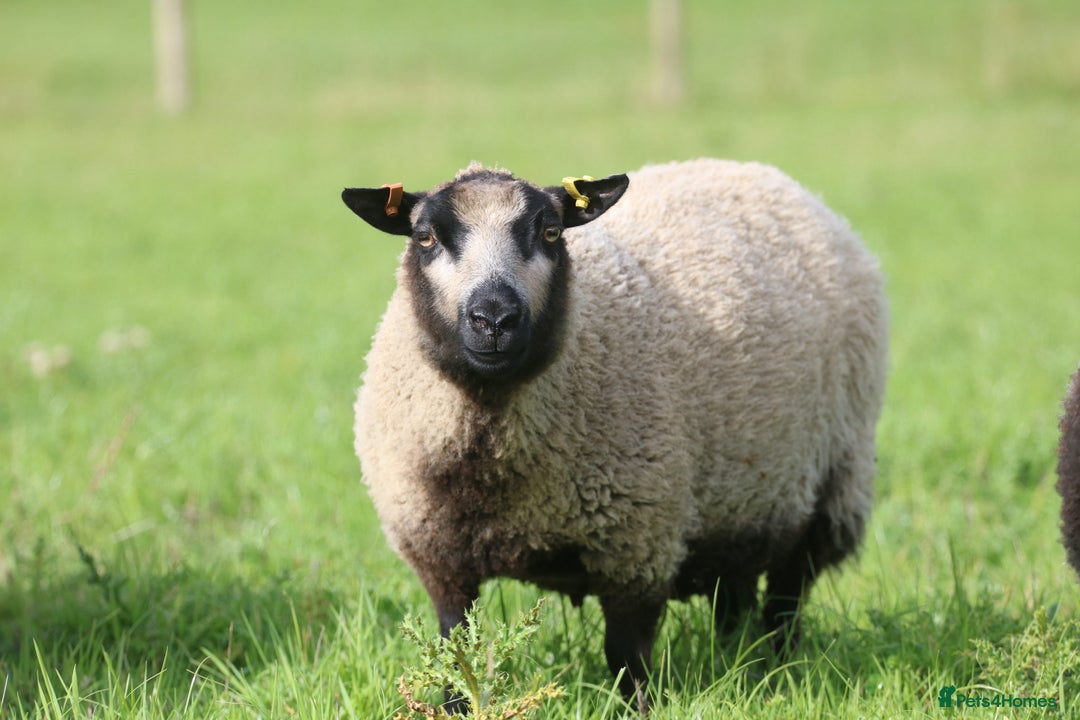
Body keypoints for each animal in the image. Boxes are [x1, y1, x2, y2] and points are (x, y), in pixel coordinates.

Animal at [341, 158, 888, 710]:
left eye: (551, 232)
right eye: (426, 237)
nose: (494, 319)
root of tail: (763, 174)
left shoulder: (637, 545)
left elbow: (627, 658)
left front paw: (639, 709)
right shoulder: (438, 557)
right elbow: (457, 658)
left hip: (830, 481)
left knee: (786, 598)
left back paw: (778, 667)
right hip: (741, 501)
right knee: (733, 594)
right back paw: (738, 662)